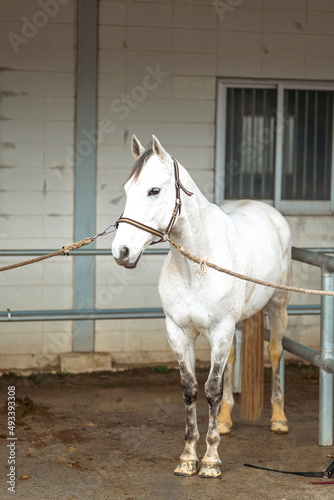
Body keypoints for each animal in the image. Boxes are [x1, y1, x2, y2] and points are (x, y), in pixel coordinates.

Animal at [111, 135, 290, 478]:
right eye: (126, 189)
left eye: (154, 190)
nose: (121, 251)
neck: (196, 267)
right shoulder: (178, 332)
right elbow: (191, 389)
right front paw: (188, 457)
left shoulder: (220, 330)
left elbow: (213, 390)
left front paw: (210, 461)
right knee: (233, 360)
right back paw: (226, 420)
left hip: (278, 304)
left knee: (275, 353)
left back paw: (278, 419)